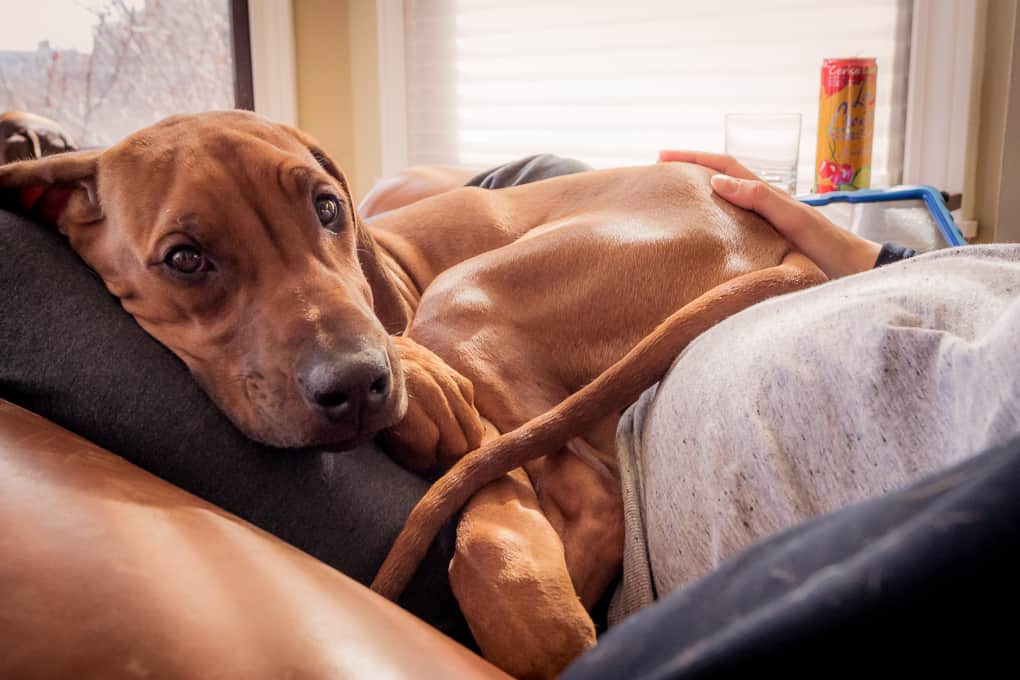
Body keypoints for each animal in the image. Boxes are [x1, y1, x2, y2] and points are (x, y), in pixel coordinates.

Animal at [0, 111, 824, 680]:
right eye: (184, 258)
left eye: (328, 208)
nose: (360, 383)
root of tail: (771, 235)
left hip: (467, 297)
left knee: (569, 482)